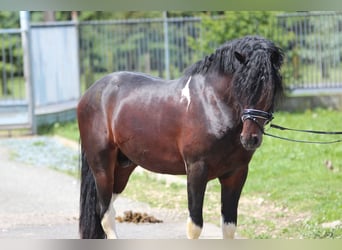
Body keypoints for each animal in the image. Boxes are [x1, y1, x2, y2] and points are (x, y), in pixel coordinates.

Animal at [77, 34, 284, 238]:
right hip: (102, 167)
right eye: (242, 85)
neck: (212, 105)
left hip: (123, 167)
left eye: (271, 87)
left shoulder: (236, 174)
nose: (250, 139)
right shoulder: (196, 170)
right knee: (105, 214)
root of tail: (91, 92)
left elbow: (229, 227)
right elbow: (195, 226)